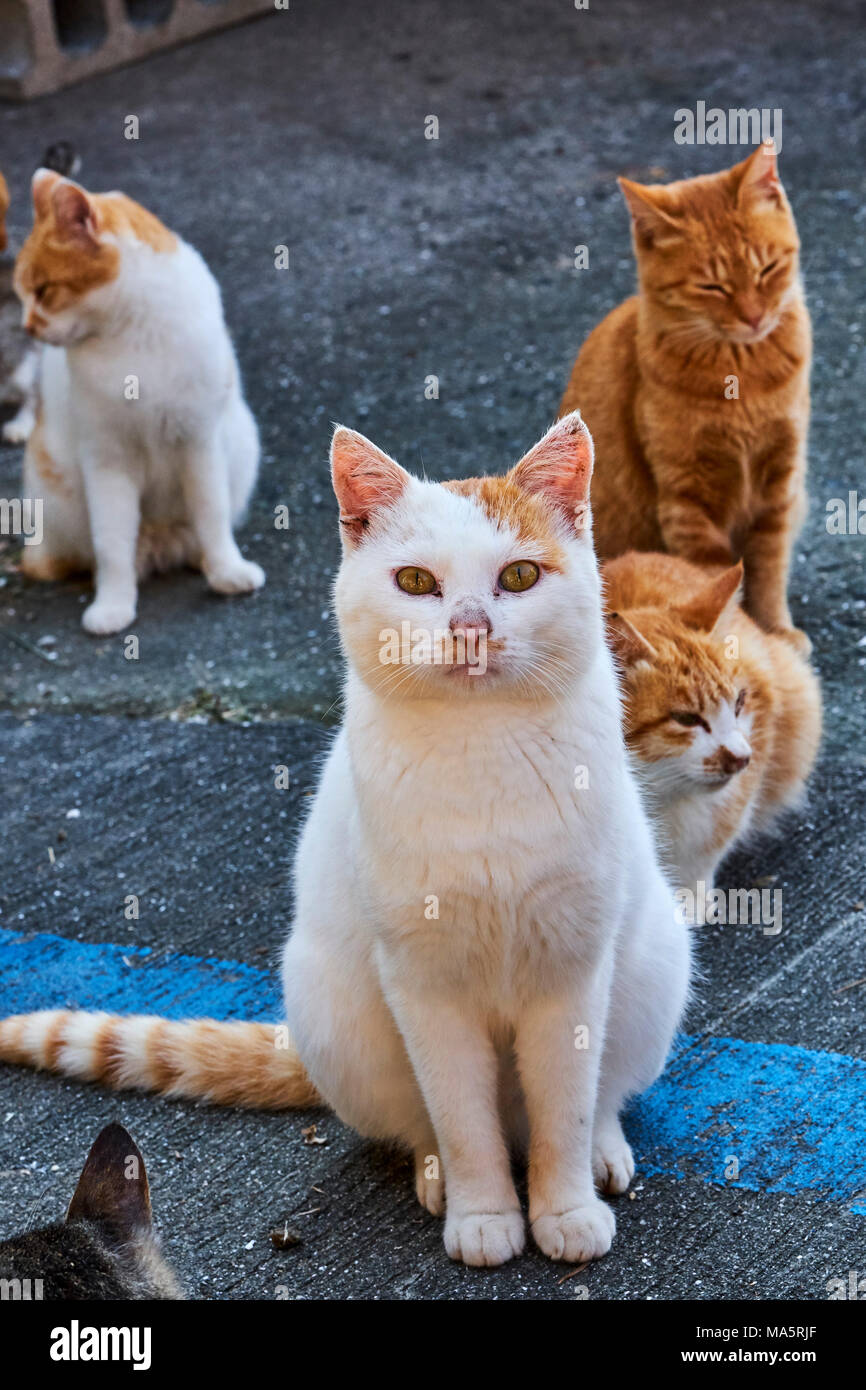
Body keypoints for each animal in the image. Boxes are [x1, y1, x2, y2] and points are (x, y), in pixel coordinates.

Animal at [0, 405, 692, 1267]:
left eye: (521, 578)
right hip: (331, 1005)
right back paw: (439, 1179)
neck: (483, 749)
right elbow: (462, 1120)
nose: (469, 627)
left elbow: (564, 1107)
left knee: (596, 1097)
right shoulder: (423, 983)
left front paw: (563, 1208)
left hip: (654, 965)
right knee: (427, 1124)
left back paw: (601, 1152)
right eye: (418, 583)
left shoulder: (570, 969)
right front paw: (484, 1215)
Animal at [14, 166, 264, 636]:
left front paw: (226, 570)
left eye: (44, 290)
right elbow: (112, 543)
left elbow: (213, 513)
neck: (132, 334)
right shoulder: (106, 459)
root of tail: (158, 542)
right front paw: (113, 605)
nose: (27, 329)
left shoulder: (199, 441)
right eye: (21, 296)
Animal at [561, 143, 811, 653]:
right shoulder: (688, 497)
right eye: (711, 286)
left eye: (767, 269)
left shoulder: (781, 480)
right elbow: (711, 574)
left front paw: (774, 628)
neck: (742, 376)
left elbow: (769, 567)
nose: (754, 317)